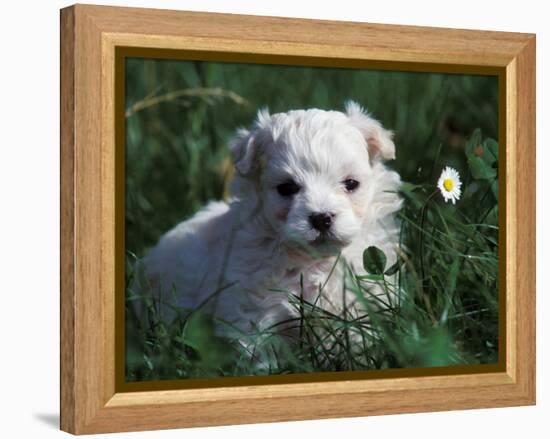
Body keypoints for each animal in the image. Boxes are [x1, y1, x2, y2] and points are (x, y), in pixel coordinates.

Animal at [140, 100, 404, 354]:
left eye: (351, 184)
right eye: (287, 188)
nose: (321, 218)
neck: (313, 261)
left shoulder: (360, 302)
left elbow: (359, 338)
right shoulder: (254, 311)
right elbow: (261, 350)